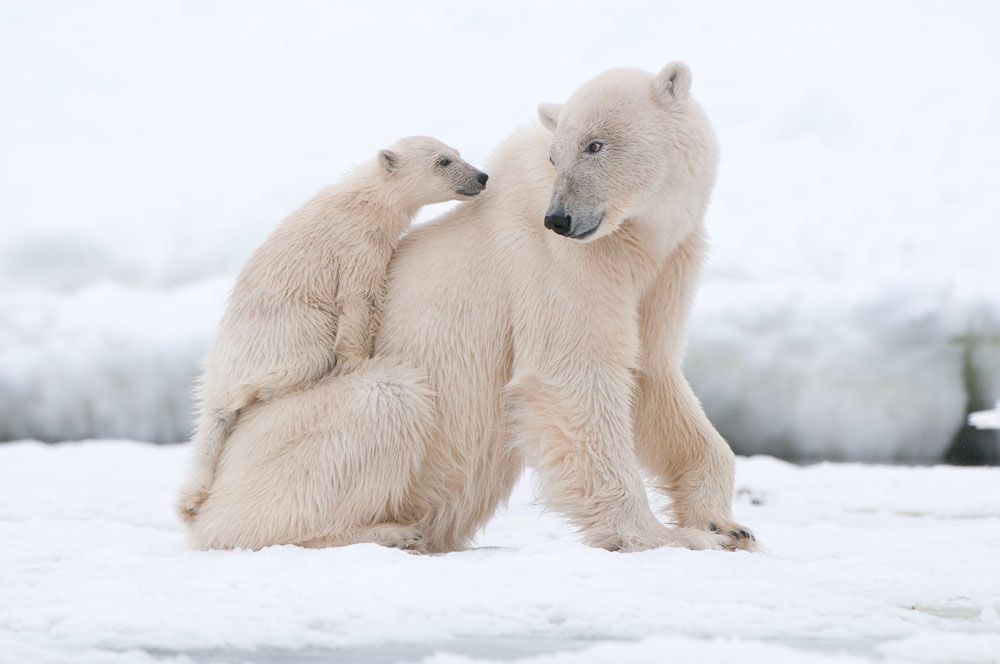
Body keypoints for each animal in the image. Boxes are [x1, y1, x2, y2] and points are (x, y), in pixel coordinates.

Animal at [188, 65, 752, 556]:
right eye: (556, 156)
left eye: (595, 144)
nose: (560, 218)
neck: (634, 238)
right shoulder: (560, 265)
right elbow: (571, 377)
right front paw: (668, 537)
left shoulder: (665, 266)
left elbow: (652, 375)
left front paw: (725, 524)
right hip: (291, 433)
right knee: (385, 400)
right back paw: (387, 532)